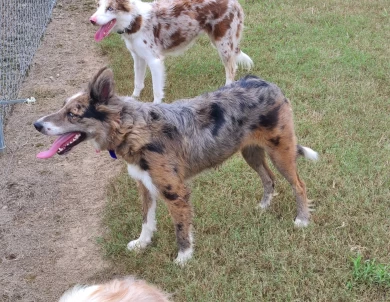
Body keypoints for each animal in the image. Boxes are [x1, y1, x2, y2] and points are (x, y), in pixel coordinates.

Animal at [35, 68, 318, 264]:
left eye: (73, 114)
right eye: (62, 107)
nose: (36, 124)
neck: (134, 127)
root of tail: (266, 83)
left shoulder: (175, 192)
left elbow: (181, 228)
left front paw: (184, 258)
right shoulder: (144, 185)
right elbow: (146, 221)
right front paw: (142, 244)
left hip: (281, 153)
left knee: (300, 185)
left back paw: (302, 219)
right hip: (252, 153)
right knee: (269, 179)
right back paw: (263, 206)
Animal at [88, 0, 253, 103]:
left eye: (110, 8)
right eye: (98, 5)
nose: (92, 20)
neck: (135, 20)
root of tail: (235, 2)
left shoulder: (155, 61)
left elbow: (156, 90)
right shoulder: (138, 57)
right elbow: (138, 82)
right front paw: (133, 99)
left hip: (223, 44)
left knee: (231, 69)